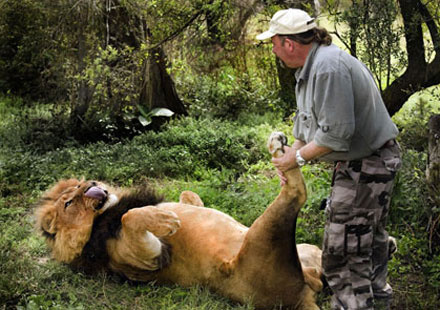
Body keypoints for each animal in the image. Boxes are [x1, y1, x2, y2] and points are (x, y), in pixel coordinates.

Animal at [35, 132, 324, 308]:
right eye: (69, 203)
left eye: (80, 184)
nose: (91, 185)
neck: (105, 213)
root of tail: (305, 294)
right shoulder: (147, 257)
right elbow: (130, 217)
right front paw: (165, 220)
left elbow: (186, 194)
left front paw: (184, 204)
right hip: (264, 235)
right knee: (296, 191)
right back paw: (279, 150)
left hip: (310, 250)